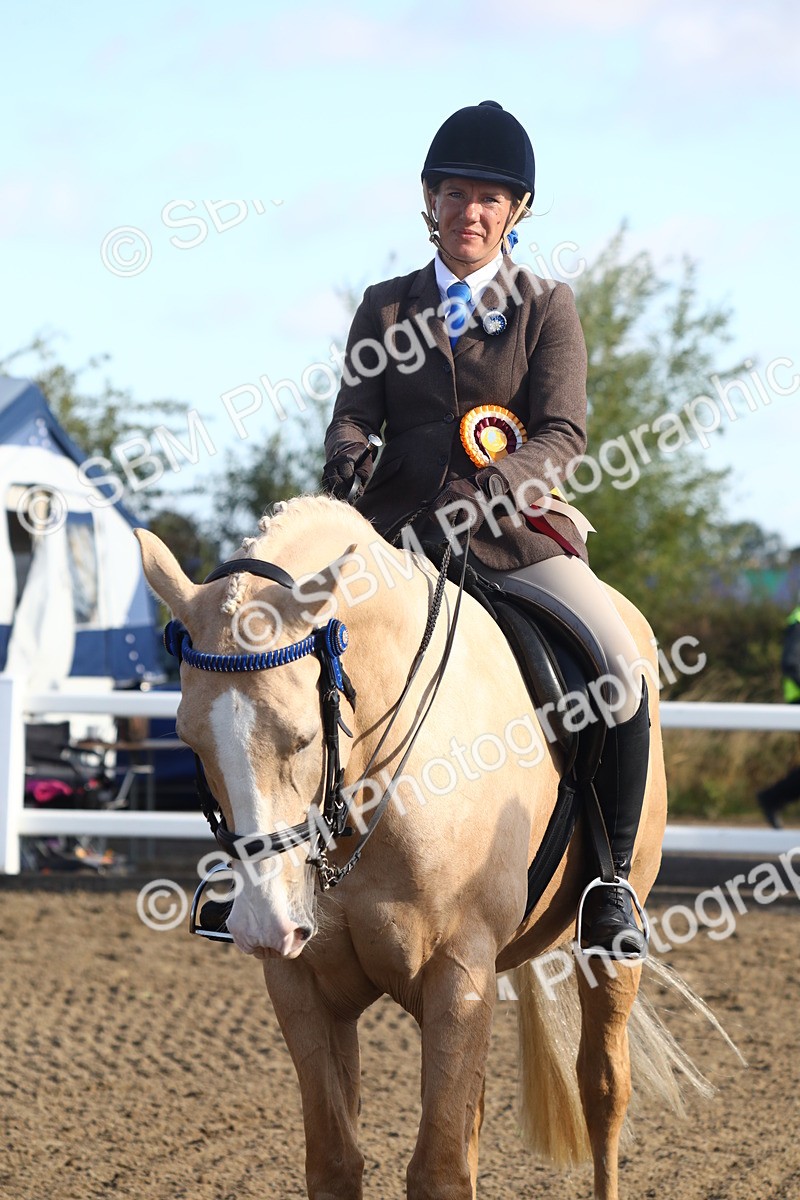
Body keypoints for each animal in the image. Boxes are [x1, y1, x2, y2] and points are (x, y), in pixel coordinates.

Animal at [136, 493, 682, 1200]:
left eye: (303, 736)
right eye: (189, 741)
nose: (265, 925)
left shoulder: (458, 973)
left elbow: (440, 1172)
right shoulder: (302, 987)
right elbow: (336, 1162)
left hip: (610, 944)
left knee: (603, 1089)